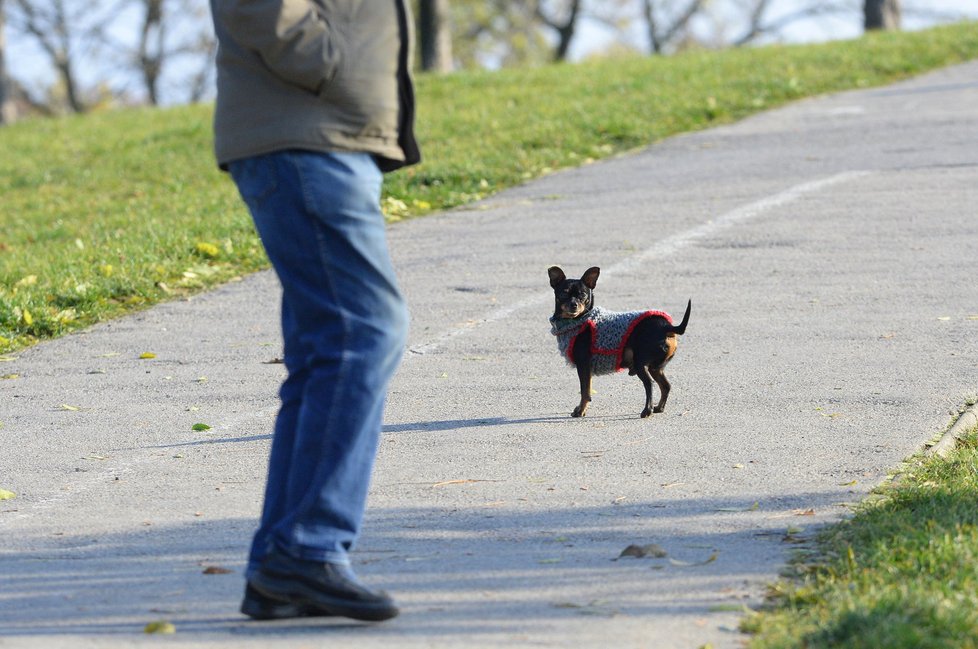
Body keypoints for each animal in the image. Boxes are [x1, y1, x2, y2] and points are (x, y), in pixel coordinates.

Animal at [544, 266, 692, 418]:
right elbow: (587, 389)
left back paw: (647, 410)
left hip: (641, 364)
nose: (574, 305)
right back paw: (659, 408)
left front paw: (581, 410)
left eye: (583, 295)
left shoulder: (583, 364)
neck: (579, 319)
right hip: (656, 367)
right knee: (666, 386)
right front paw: (581, 408)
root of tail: (667, 327)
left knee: (649, 384)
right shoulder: (587, 367)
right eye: (564, 293)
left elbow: (584, 390)